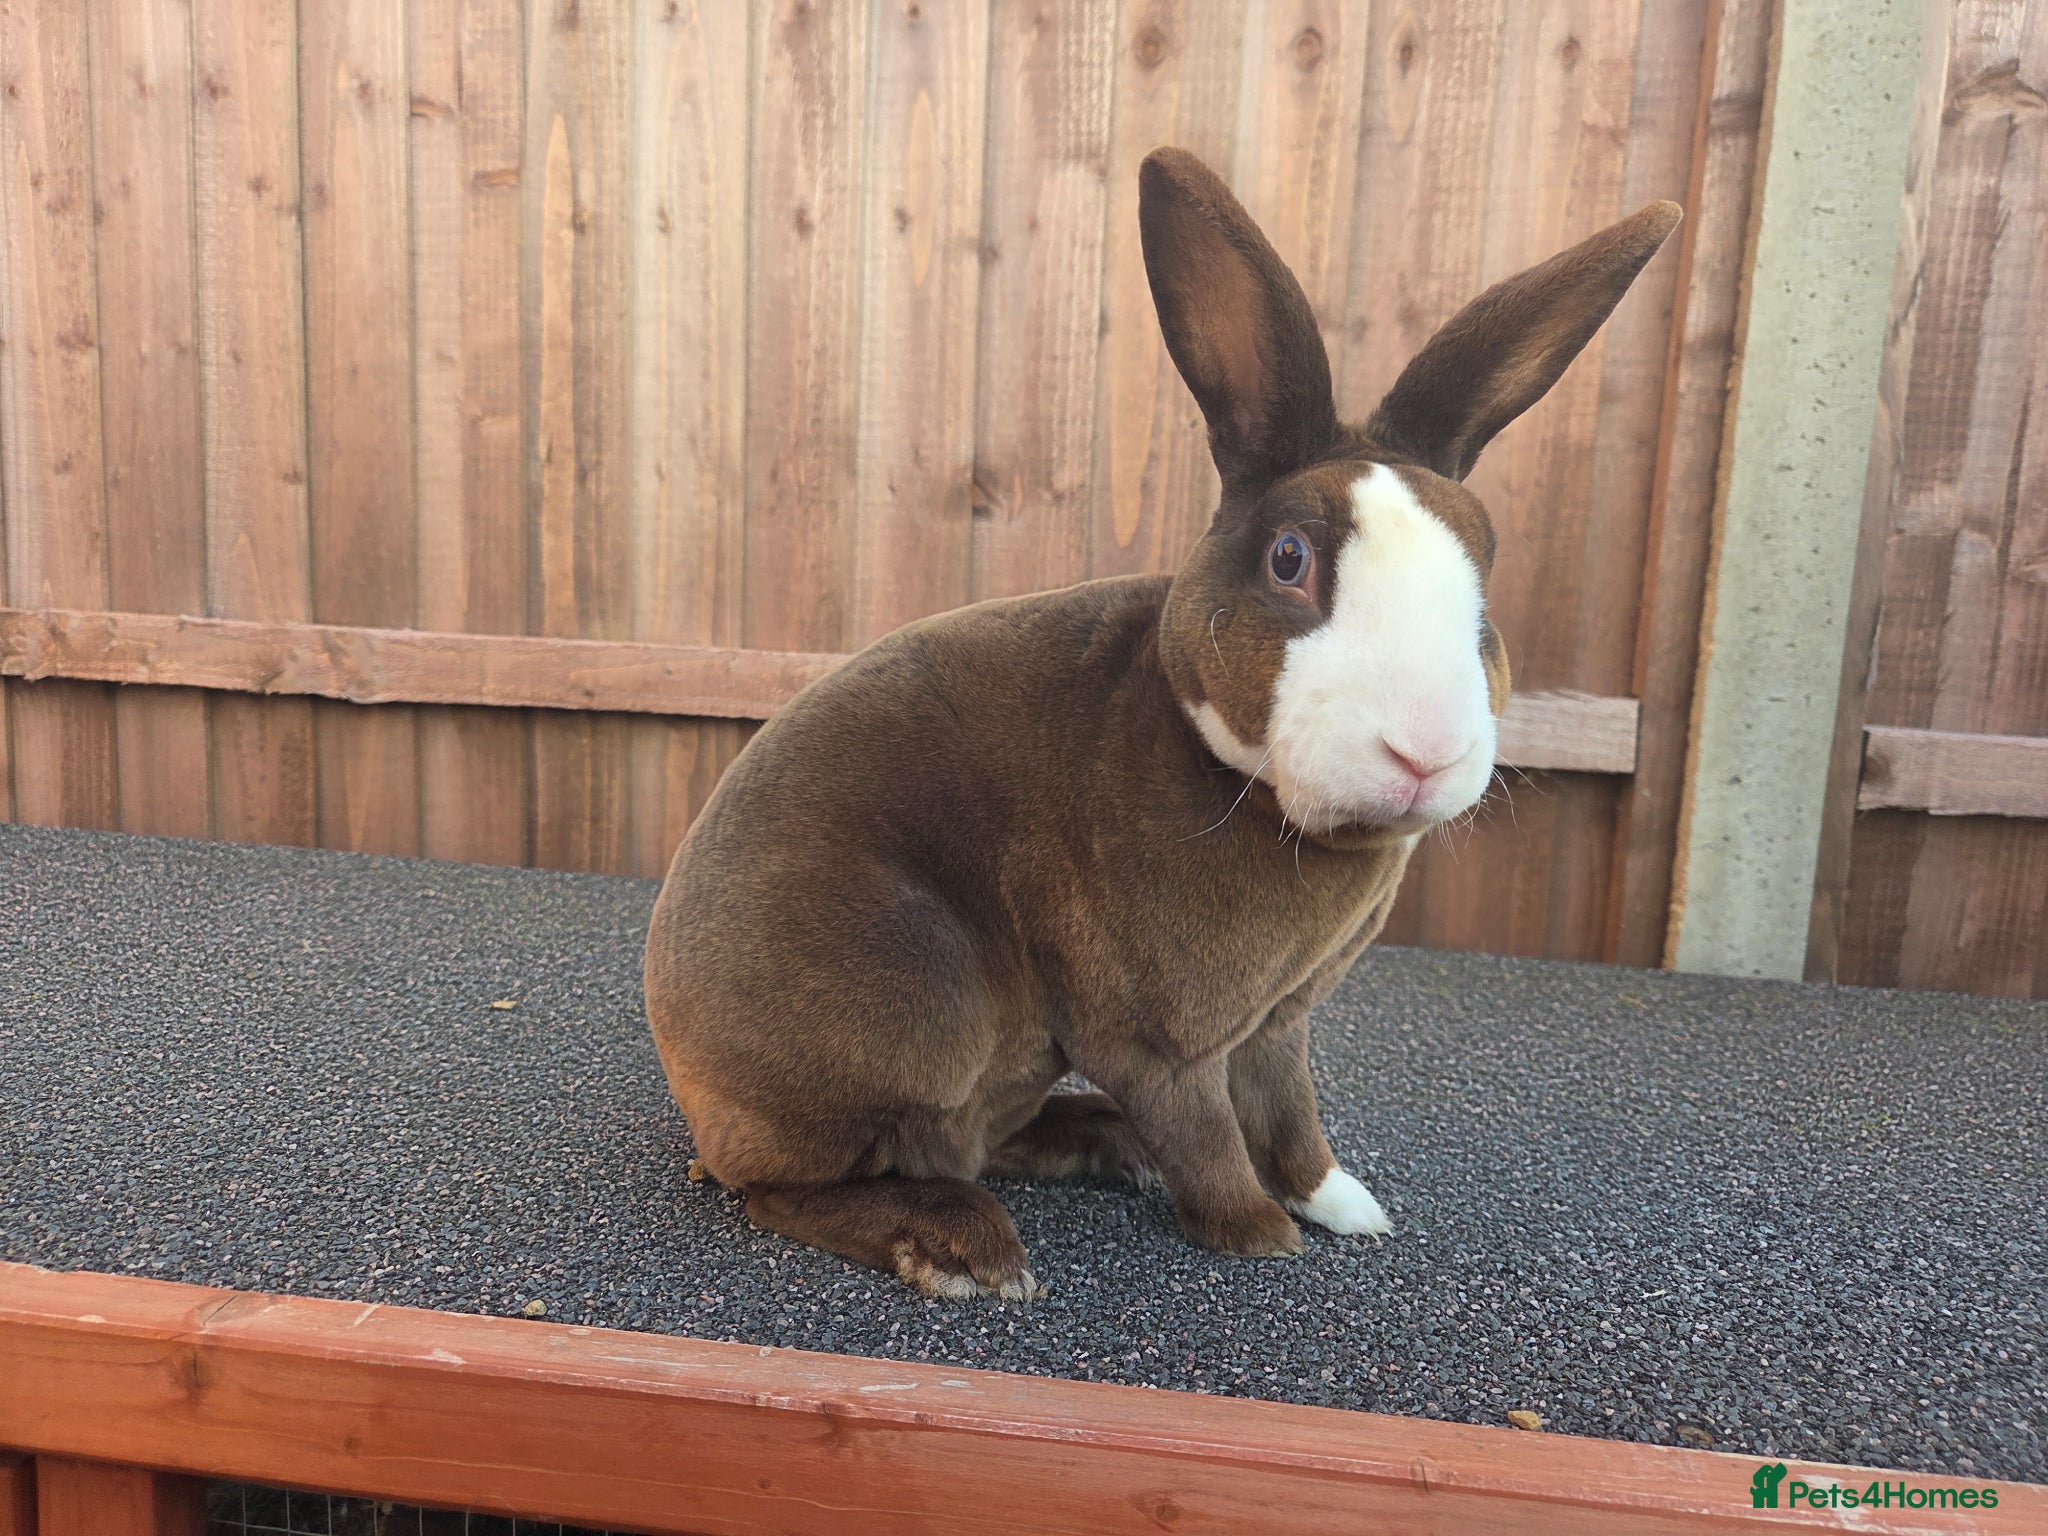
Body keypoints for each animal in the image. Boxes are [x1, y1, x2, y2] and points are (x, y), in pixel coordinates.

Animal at [645, 146, 1679, 1301]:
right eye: (1289, 559)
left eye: (1484, 578)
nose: (1426, 749)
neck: (1241, 783)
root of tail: (691, 1081)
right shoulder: (1159, 1039)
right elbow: (1207, 1132)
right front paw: (1256, 1235)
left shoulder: (1280, 1023)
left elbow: (1289, 1117)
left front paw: (1345, 1209)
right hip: (907, 1003)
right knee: (792, 1188)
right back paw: (964, 1247)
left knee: (979, 1136)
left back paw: (1096, 1143)